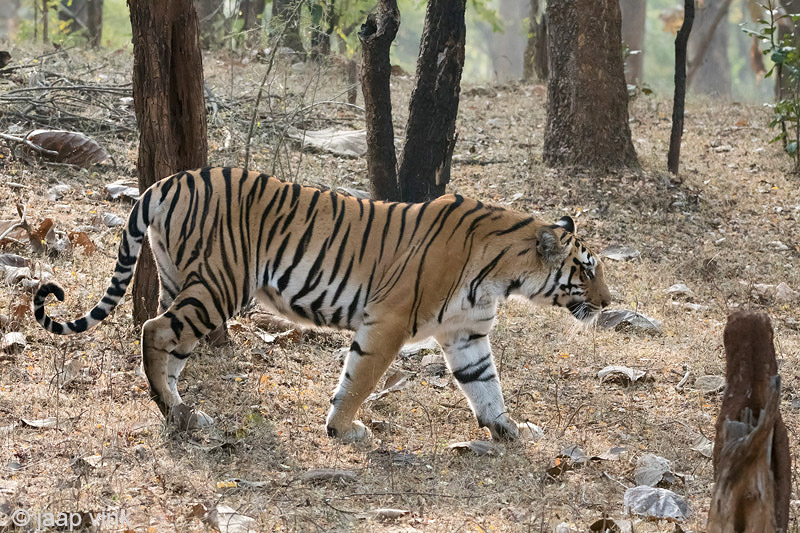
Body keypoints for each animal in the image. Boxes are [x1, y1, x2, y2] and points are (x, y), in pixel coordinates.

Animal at [34, 166, 612, 440]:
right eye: (586, 268)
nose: (608, 303)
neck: (501, 275)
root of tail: (170, 179)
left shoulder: (466, 334)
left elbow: (486, 386)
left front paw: (507, 429)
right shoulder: (388, 322)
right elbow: (359, 378)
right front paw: (343, 429)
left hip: (183, 281)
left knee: (168, 345)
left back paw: (182, 411)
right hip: (219, 286)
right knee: (153, 329)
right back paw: (174, 412)